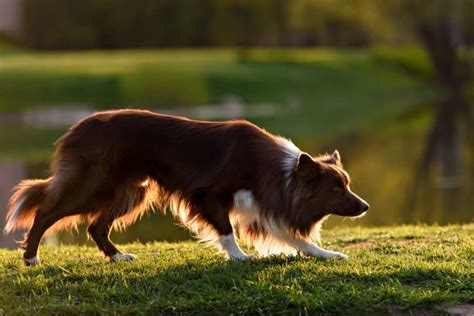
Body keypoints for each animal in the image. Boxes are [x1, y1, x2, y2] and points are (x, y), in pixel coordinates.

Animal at [2, 108, 370, 264]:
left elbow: (294, 238)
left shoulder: (264, 205)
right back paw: (31, 257)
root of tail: (74, 128)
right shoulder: (208, 194)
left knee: (96, 226)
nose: (366, 206)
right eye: (336, 189)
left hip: (131, 191)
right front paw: (239, 257)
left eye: (346, 184)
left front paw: (328, 253)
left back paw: (118, 257)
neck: (280, 172)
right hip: (96, 186)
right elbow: (225, 229)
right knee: (46, 212)